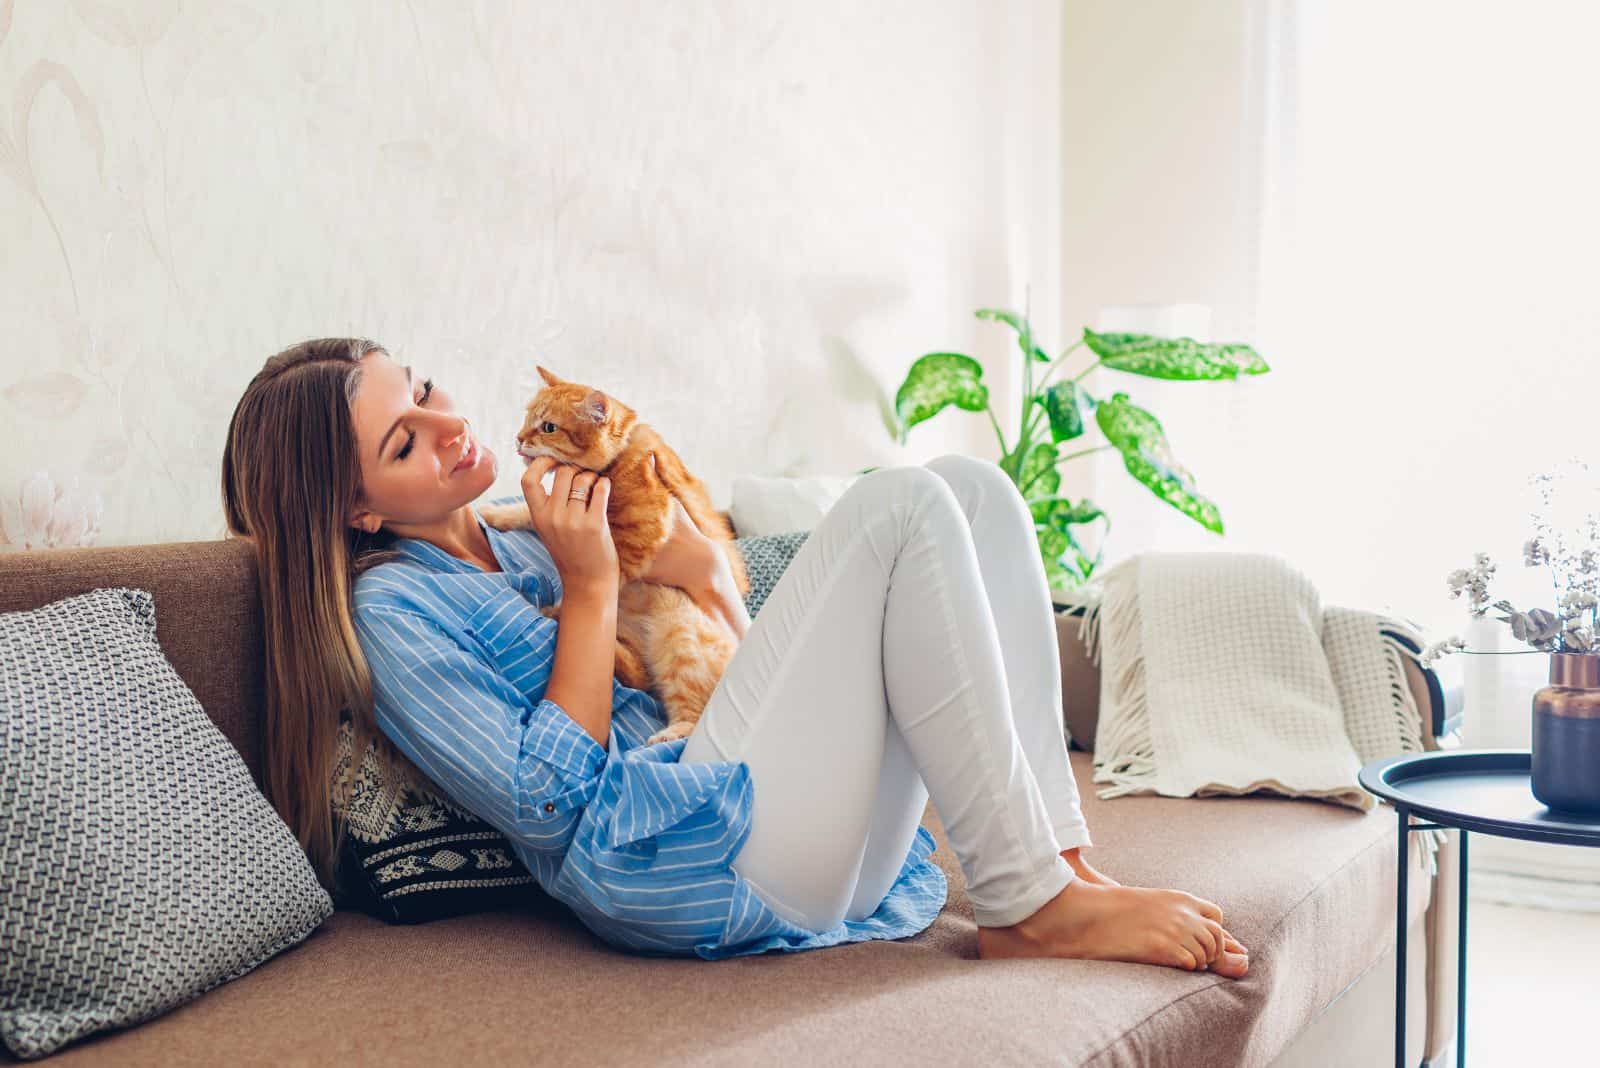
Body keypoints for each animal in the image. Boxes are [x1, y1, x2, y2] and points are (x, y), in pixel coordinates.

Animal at [473, 362, 748, 748]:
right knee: (639, 675)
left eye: (548, 427)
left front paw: (564, 602)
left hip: (681, 631)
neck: (617, 460)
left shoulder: (638, 531)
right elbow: (526, 511)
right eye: (527, 417)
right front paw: (498, 514)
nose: (518, 438)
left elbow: (608, 570)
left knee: (688, 714)